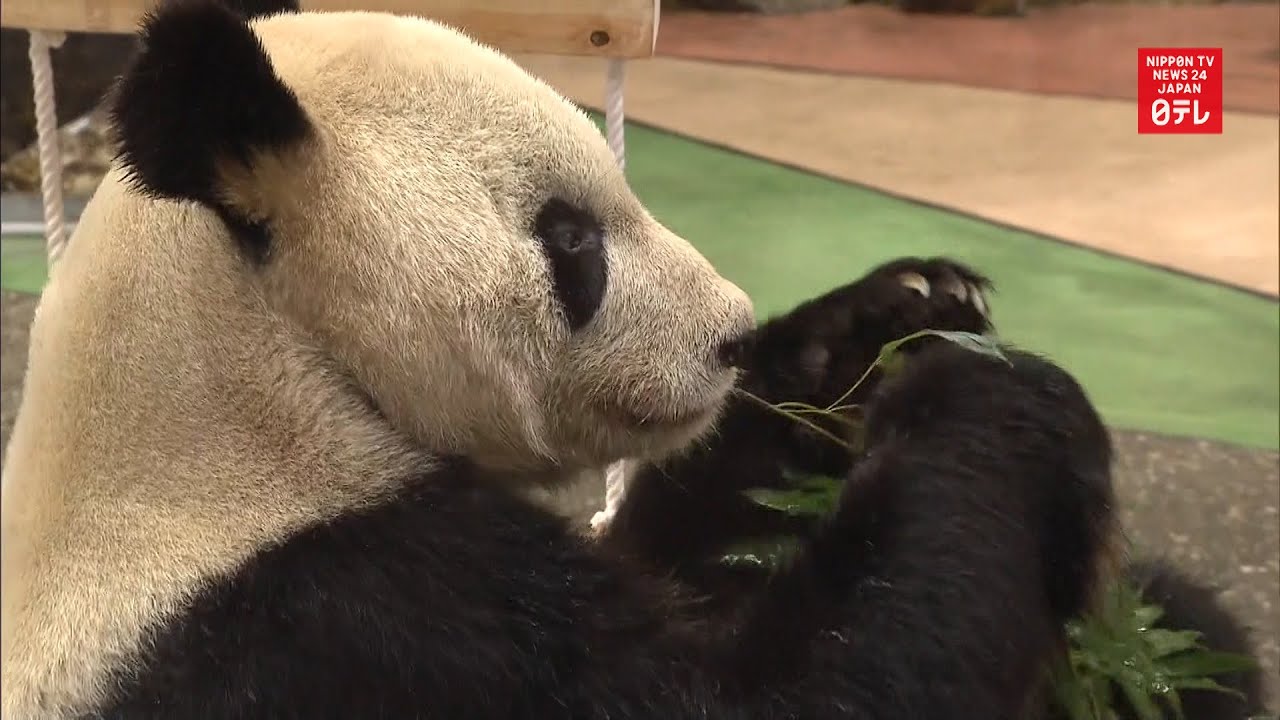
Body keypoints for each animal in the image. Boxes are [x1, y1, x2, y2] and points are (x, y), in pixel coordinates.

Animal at [0, 1, 1263, 719]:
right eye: (570, 241)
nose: (726, 337)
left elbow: (686, 550)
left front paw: (882, 323)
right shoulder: (333, 622)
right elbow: (771, 693)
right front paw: (989, 397)